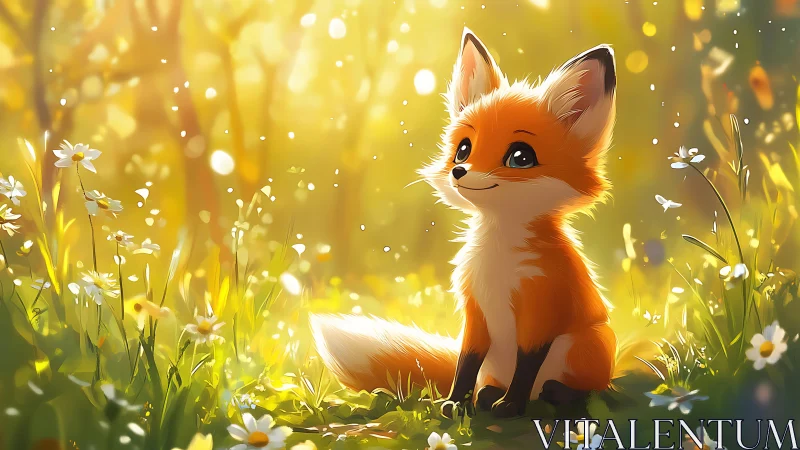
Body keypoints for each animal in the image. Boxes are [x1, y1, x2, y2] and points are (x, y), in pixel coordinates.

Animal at [311, 28, 617, 418]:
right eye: (463, 149)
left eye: (520, 157)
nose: (459, 172)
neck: (497, 263)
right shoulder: (476, 311)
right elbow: (465, 362)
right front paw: (456, 403)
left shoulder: (541, 310)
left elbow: (526, 366)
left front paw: (510, 406)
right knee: (493, 383)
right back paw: (486, 397)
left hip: (585, 344)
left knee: (584, 388)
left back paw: (550, 395)